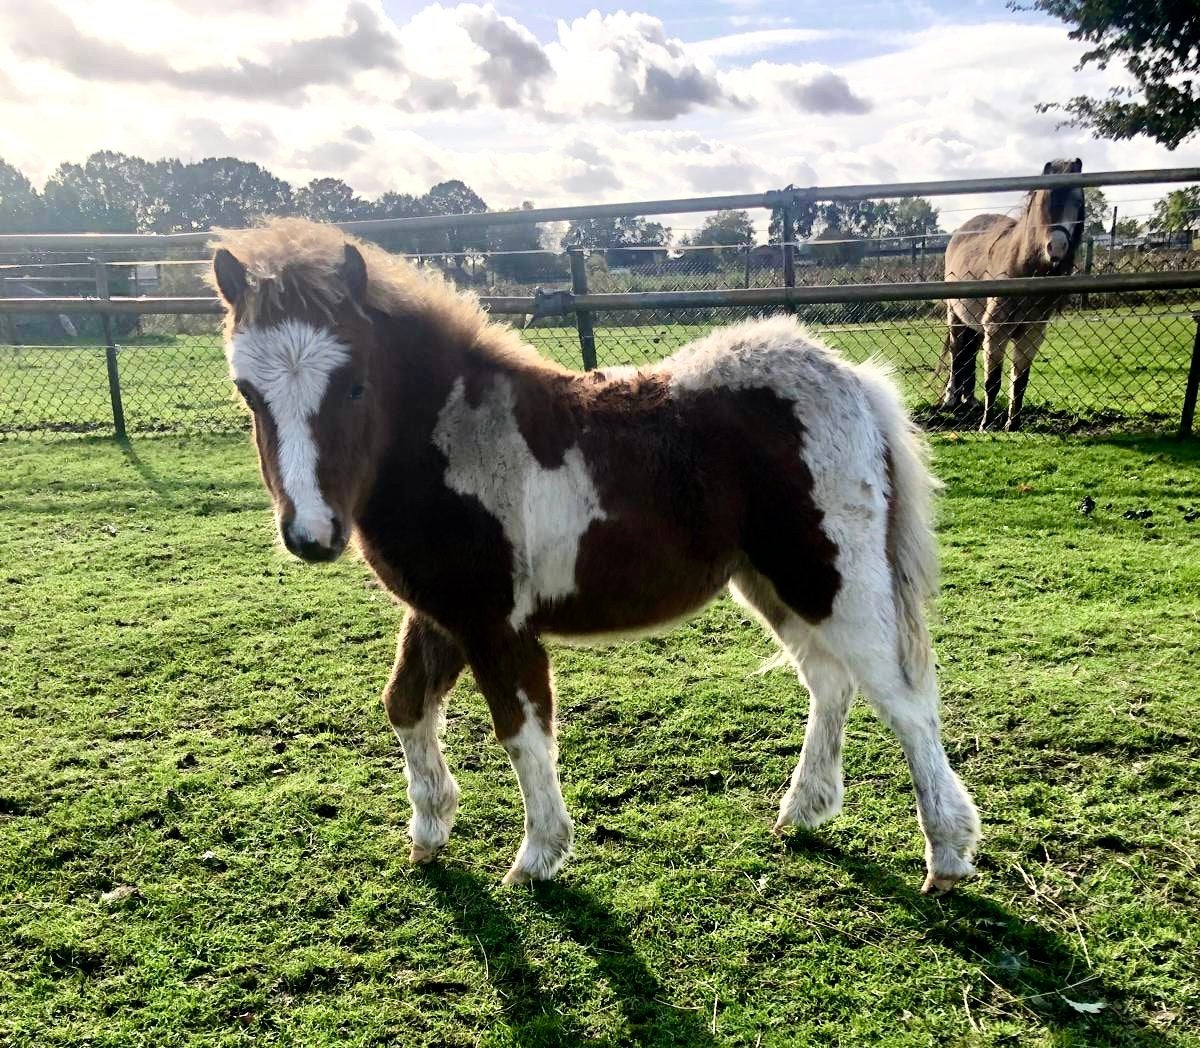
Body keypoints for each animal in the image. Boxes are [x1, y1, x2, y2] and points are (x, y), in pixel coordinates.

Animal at [211, 217, 980, 894]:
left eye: (356, 384)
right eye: (247, 392)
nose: (312, 535)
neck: (449, 445)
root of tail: (853, 380)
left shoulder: (496, 625)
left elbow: (521, 733)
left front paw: (537, 857)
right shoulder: (439, 613)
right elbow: (404, 705)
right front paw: (429, 830)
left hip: (830, 577)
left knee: (904, 700)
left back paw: (945, 856)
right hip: (771, 582)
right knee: (830, 683)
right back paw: (803, 812)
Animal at [940, 158, 1086, 430]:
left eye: (1077, 200)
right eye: (1044, 201)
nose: (1057, 247)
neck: (1023, 269)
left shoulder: (1031, 334)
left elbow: (1020, 381)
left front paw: (1013, 423)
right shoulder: (997, 331)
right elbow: (993, 381)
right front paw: (986, 424)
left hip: (975, 324)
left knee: (969, 354)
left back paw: (969, 399)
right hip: (955, 316)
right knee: (957, 353)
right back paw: (952, 399)